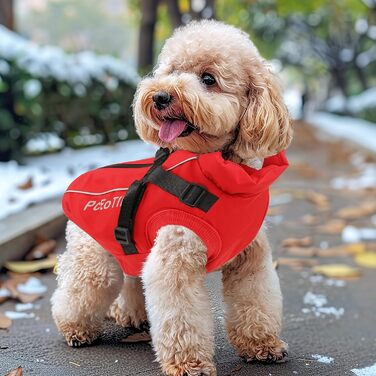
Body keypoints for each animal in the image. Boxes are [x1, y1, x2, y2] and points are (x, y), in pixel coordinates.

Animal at [51, 20, 294, 376]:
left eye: (208, 79)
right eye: (172, 70)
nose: (161, 96)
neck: (222, 175)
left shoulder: (250, 258)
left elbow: (254, 300)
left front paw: (261, 345)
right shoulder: (176, 259)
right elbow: (181, 316)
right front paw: (190, 363)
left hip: (132, 253)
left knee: (131, 281)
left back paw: (132, 316)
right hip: (95, 259)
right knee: (77, 291)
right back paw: (76, 329)